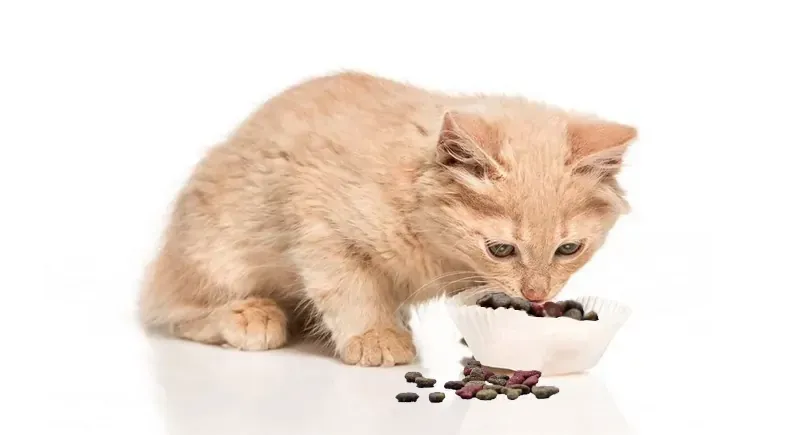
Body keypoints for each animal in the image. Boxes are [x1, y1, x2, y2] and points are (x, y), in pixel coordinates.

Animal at [139, 71, 636, 368]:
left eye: (568, 249)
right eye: (501, 249)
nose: (537, 294)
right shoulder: (322, 229)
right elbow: (350, 290)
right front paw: (375, 337)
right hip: (215, 253)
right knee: (171, 309)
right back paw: (251, 315)